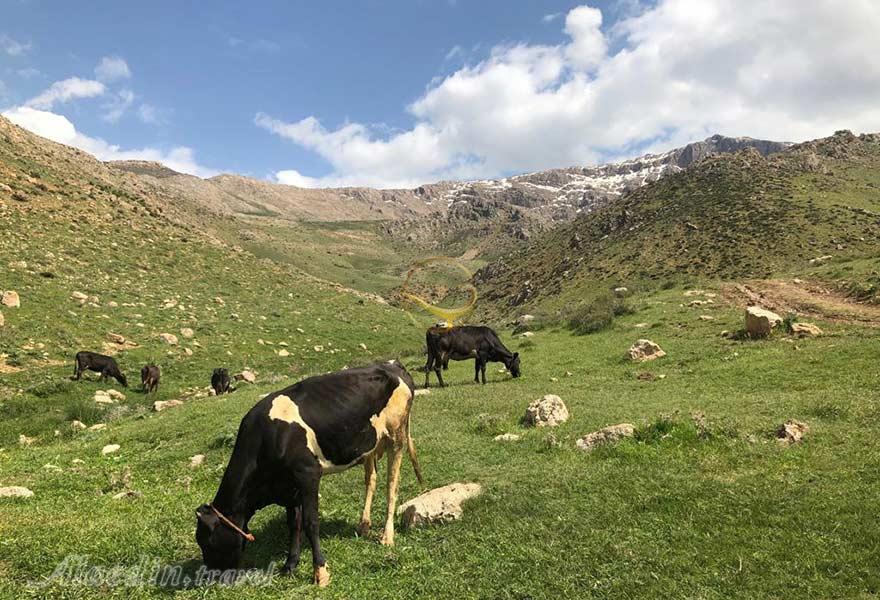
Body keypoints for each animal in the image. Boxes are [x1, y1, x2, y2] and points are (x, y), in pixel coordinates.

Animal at [193, 360, 426, 584]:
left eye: (207, 543)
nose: (209, 577)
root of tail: (392, 365)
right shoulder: (288, 487)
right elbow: (293, 525)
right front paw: (290, 565)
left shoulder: (309, 475)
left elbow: (310, 523)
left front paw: (320, 572)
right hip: (370, 443)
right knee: (371, 479)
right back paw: (363, 526)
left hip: (396, 435)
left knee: (392, 485)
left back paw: (387, 536)